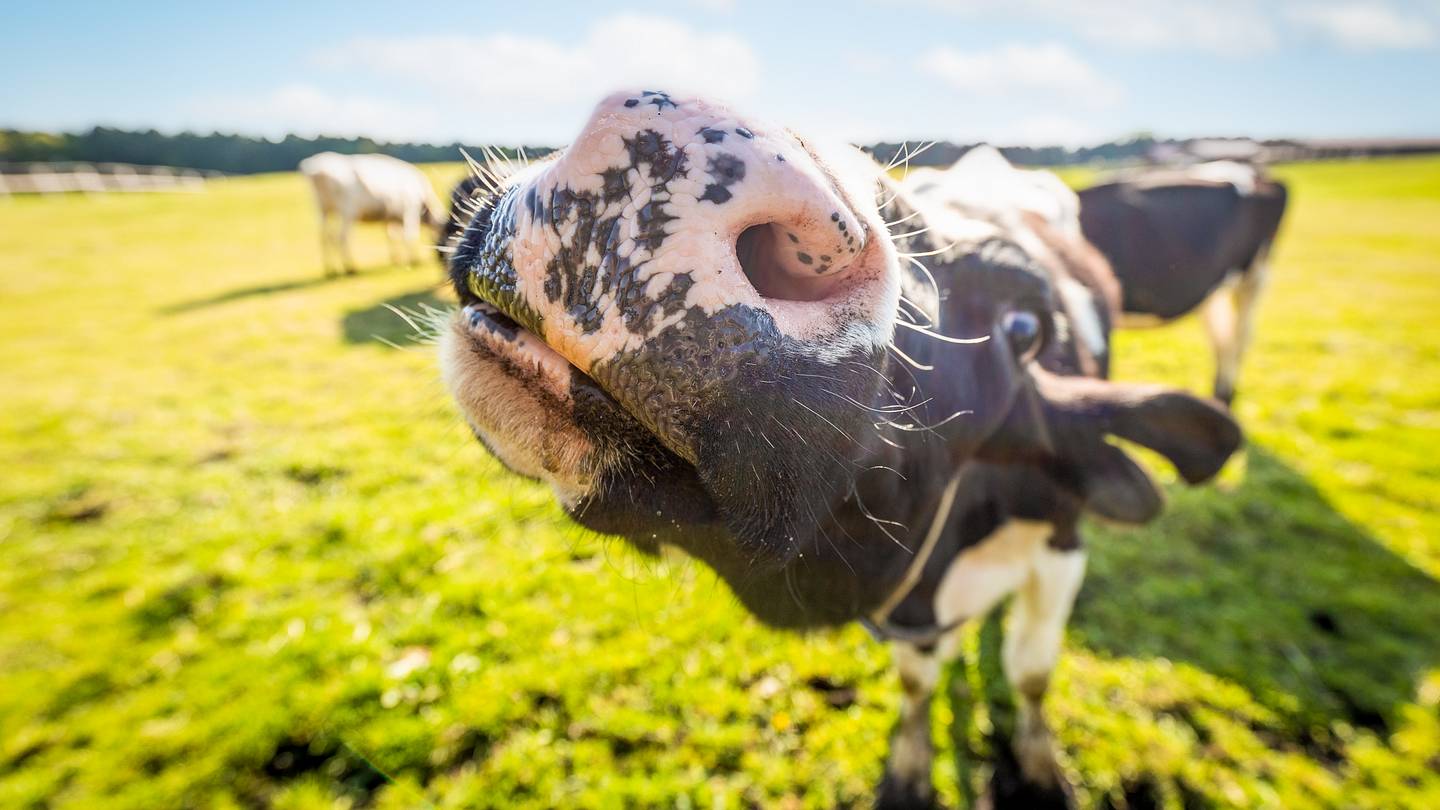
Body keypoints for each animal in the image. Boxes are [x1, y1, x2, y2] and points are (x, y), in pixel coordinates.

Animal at [298, 152, 444, 275]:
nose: (438, 259)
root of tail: (316, 170)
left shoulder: (391, 217)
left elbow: (392, 236)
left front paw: (396, 260)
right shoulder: (409, 208)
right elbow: (410, 234)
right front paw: (414, 260)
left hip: (322, 209)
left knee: (324, 237)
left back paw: (330, 270)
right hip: (347, 210)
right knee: (342, 237)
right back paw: (350, 268)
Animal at [439, 90, 1241, 807]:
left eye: (1025, 329)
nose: (677, 147)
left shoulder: (1062, 548)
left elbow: (1032, 674)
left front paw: (1041, 769)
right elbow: (919, 681)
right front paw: (911, 770)